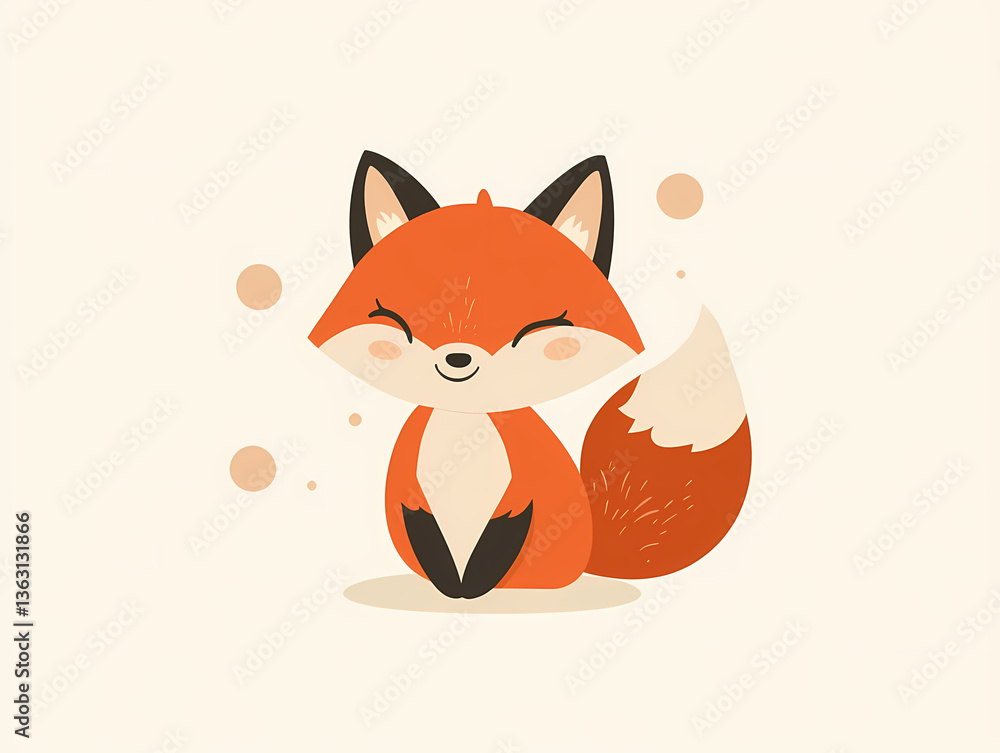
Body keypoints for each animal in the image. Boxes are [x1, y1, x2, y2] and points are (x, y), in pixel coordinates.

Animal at [308, 150, 752, 599]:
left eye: (534, 324)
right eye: (402, 317)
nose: (458, 359)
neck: (465, 430)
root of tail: (591, 555)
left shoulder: (523, 492)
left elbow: (502, 536)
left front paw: (471, 589)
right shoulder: (410, 492)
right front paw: (455, 590)